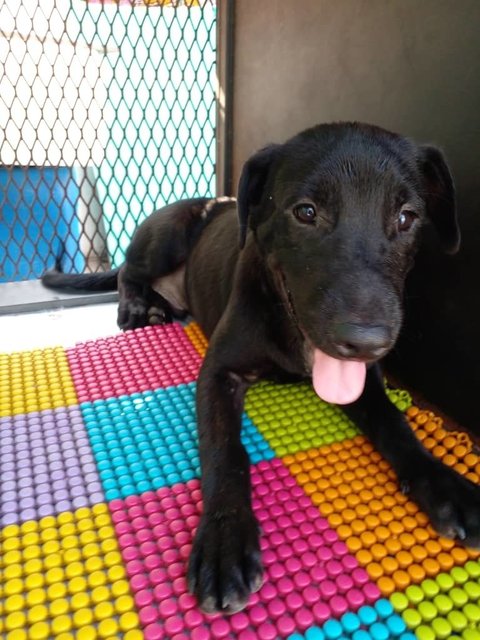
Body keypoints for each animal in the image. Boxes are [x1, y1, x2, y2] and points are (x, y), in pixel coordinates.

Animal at [42, 121, 480, 616]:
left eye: (407, 217)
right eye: (306, 212)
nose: (366, 341)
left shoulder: (366, 382)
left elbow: (395, 423)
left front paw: (445, 485)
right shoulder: (219, 373)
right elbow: (225, 451)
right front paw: (224, 537)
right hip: (166, 236)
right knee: (126, 274)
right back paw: (136, 306)